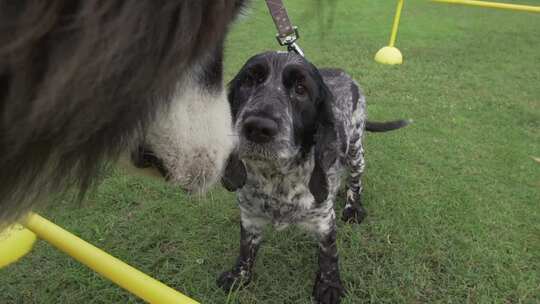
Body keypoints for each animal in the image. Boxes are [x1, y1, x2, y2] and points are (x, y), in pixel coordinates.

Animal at [219, 51, 410, 302]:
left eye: (301, 89)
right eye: (248, 81)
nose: (258, 127)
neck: (277, 177)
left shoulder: (324, 219)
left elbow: (329, 254)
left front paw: (329, 286)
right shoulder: (250, 216)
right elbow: (246, 246)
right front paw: (238, 275)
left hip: (356, 151)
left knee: (355, 181)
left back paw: (353, 207)